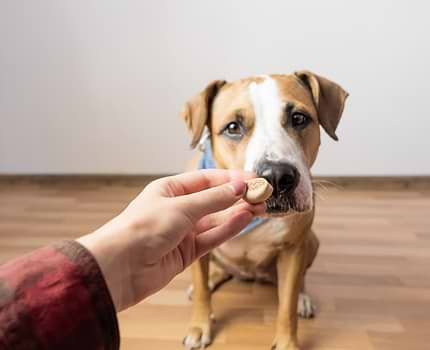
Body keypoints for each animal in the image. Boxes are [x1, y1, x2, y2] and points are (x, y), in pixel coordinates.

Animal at [180, 71, 348, 350]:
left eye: (299, 118)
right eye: (233, 127)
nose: (278, 176)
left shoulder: (293, 249)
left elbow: (287, 305)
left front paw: (287, 342)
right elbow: (203, 291)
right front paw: (199, 327)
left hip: (311, 242)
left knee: (300, 280)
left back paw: (303, 298)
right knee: (213, 271)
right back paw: (210, 279)